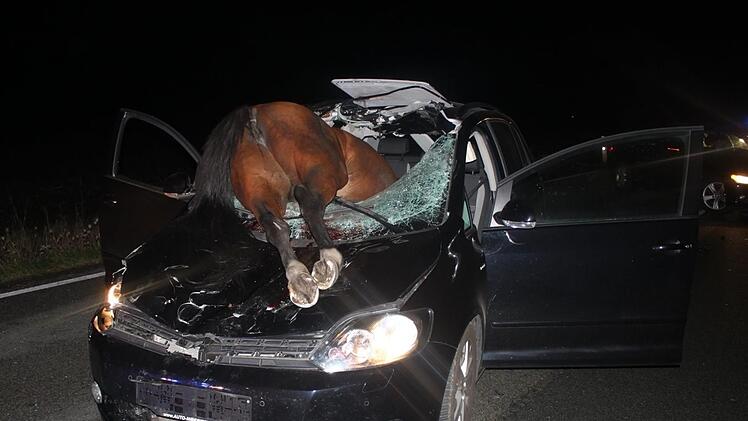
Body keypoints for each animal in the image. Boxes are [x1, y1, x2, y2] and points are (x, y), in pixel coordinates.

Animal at [190, 102, 397, 308]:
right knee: (309, 204)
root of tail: (254, 112)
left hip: (260, 188)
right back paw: (328, 259)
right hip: (327, 171)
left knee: (276, 226)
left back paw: (299, 278)